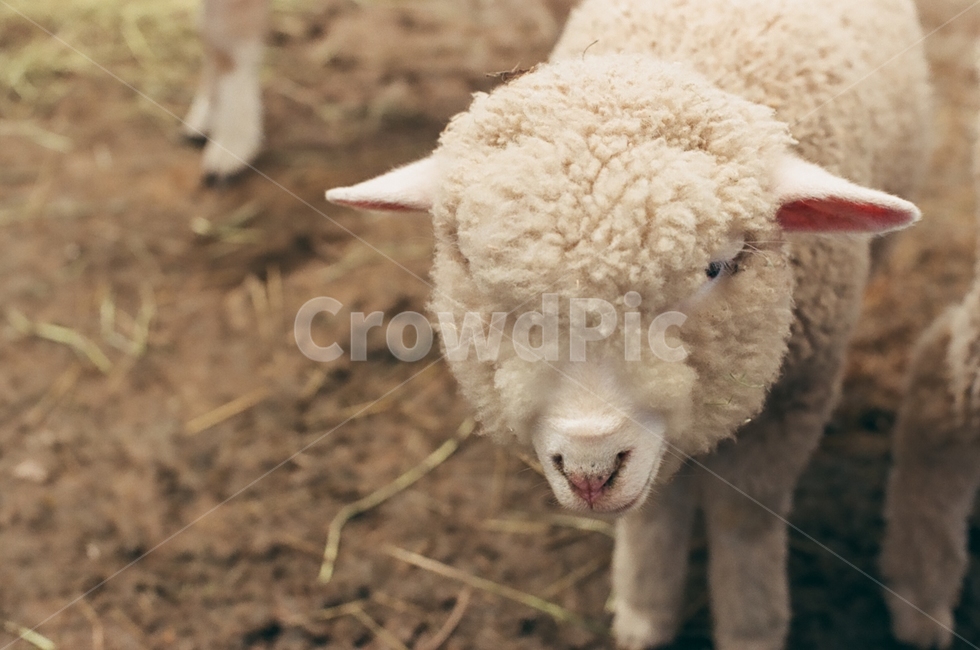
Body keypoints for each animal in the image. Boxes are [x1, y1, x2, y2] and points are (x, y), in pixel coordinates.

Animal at [325, 0, 931, 648]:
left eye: (716, 267)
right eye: (468, 265)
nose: (590, 471)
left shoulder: (797, 398)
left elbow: (744, 521)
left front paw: (752, 624)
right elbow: (654, 513)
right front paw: (643, 611)